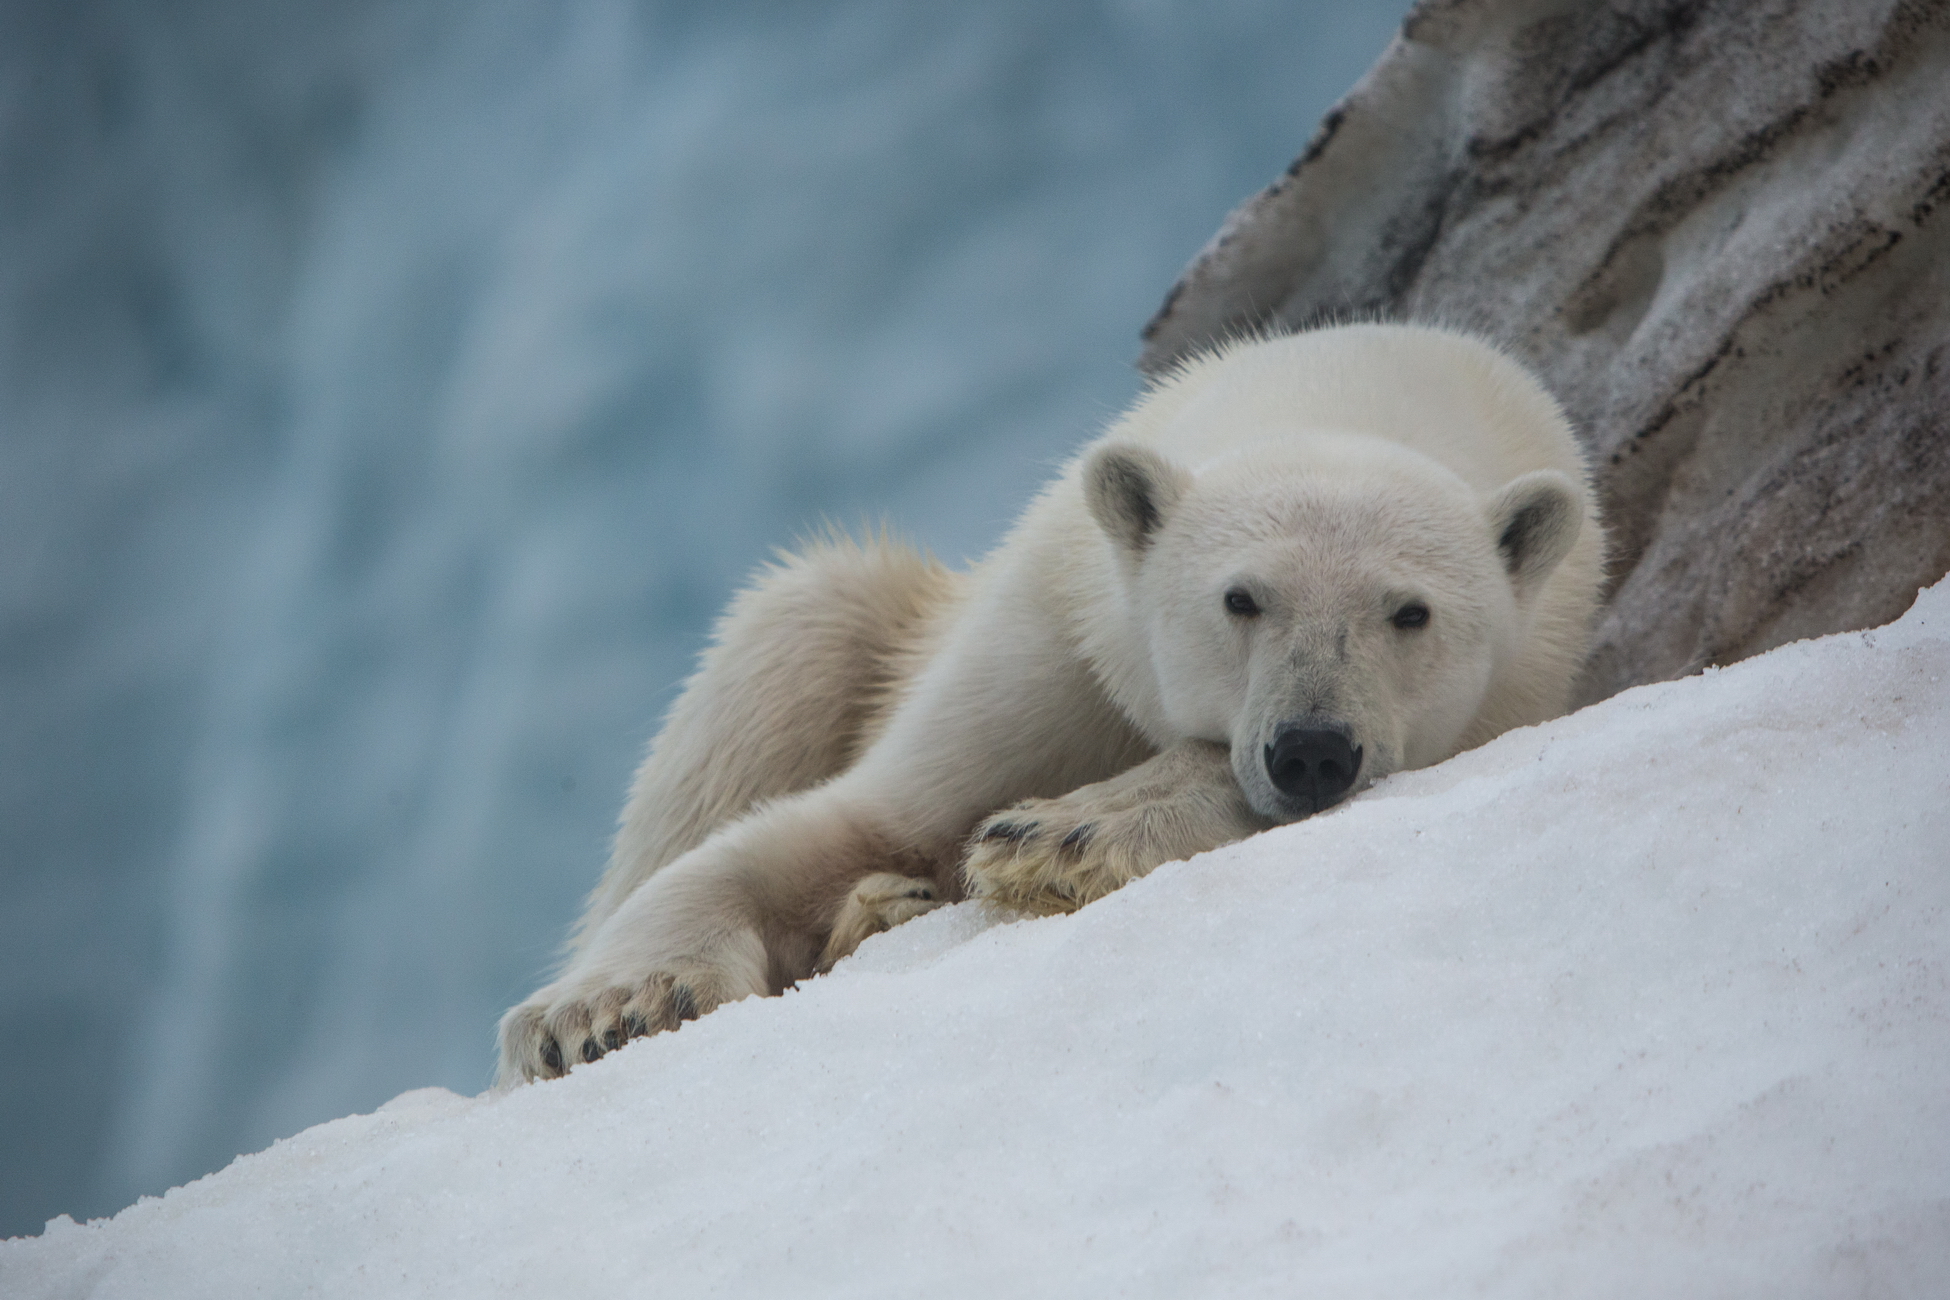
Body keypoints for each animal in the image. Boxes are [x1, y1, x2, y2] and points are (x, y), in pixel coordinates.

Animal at [495, 325, 1606, 1091]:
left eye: (1410, 612)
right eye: (1241, 597)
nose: (1312, 750)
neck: (1357, 394)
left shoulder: (1516, 689)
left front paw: (1060, 835)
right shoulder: (1056, 632)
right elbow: (840, 823)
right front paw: (608, 1008)